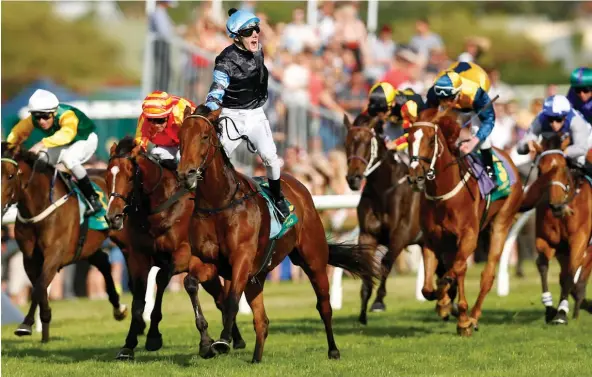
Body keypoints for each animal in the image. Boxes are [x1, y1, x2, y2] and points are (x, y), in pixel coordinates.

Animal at [0, 141, 126, 340]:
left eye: (11, 175)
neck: (39, 206)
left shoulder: (55, 253)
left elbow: (39, 286)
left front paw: (26, 323)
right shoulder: (29, 258)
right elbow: (39, 285)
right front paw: (44, 319)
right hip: (88, 246)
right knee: (103, 262)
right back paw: (118, 308)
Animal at [106, 137, 245, 360]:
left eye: (129, 177)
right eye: (107, 175)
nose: (113, 217)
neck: (159, 209)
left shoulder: (184, 255)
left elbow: (162, 278)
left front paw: (154, 335)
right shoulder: (138, 258)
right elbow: (138, 299)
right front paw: (129, 344)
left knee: (219, 298)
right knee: (220, 298)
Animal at [178, 104, 376, 362]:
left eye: (204, 137)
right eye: (180, 137)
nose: (186, 174)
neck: (219, 202)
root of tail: (300, 186)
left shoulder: (241, 259)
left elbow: (231, 300)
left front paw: (223, 341)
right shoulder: (207, 261)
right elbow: (191, 283)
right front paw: (205, 343)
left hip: (313, 259)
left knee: (324, 305)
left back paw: (333, 350)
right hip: (258, 275)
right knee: (262, 321)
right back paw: (255, 359)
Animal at [408, 108, 524, 334]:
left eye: (430, 140)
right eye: (408, 139)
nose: (414, 177)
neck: (443, 196)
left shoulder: (469, 235)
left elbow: (456, 270)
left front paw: (461, 316)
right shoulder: (432, 239)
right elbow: (428, 287)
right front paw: (446, 304)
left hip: (501, 224)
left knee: (487, 275)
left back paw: (473, 316)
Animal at [520, 135, 588, 324]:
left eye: (564, 167)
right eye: (541, 169)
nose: (556, 206)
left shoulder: (579, 239)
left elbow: (571, 273)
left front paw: (562, 313)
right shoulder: (546, 240)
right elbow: (543, 265)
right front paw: (550, 308)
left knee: (579, 280)